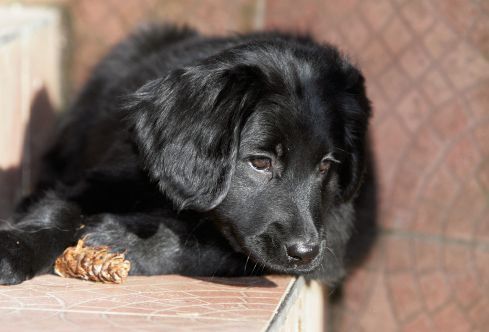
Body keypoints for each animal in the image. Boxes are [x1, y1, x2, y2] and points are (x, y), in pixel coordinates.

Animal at [0, 25, 374, 286]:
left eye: (325, 166)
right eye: (260, 162)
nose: (305, 253)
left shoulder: (331, 239)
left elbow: (209, 248)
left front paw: (115, 239)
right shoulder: (120, 172)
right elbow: (58, 208)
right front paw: (16, 247)